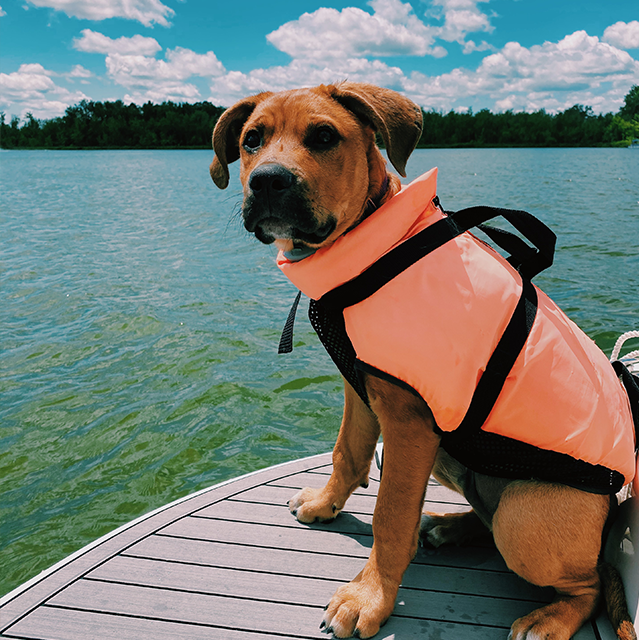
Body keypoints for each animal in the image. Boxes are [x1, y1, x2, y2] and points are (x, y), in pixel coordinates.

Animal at [209, 84, 636, 640]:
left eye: (324, 136)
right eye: (251, 140)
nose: (268, 180)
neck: (370, 243)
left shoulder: (408, 422)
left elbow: (390, 516)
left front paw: (368, 598)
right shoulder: (362, 388)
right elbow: (347, 453)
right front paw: (325, 504)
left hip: (525, 515)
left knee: (587, 583)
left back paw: (549, 618)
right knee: (486, 517)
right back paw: (448, 527)